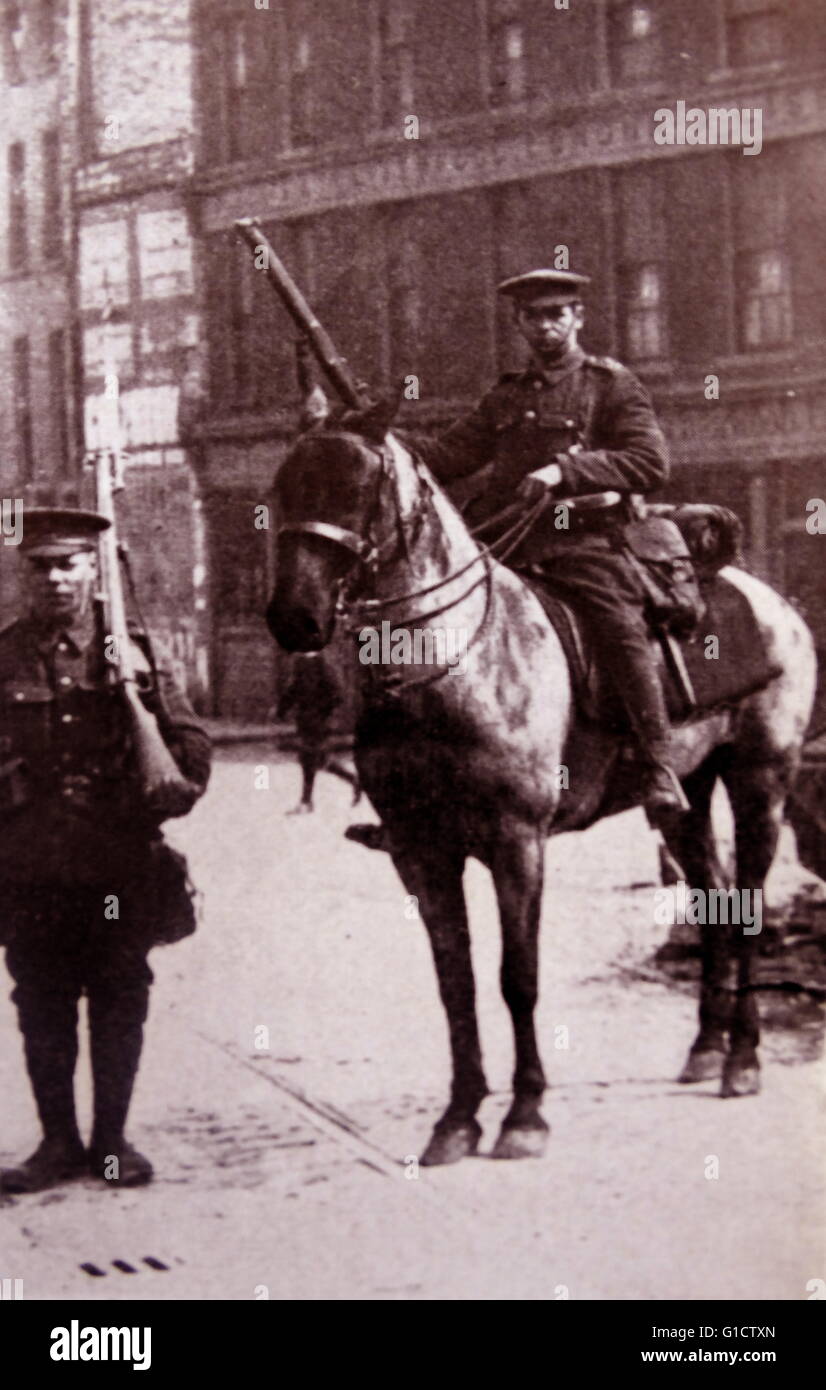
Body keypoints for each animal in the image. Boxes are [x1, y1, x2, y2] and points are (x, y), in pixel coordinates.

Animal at [265, 397, 817, 1167]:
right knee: (712, 896)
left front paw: (524, 1115)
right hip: (686, 793)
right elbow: (456, 983)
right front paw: (458, 1117)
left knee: (748, 908)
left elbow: (515, 978)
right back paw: (706, 1048)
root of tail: (773, 600)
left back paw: (742, 1060)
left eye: (355, 486)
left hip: (760, 779)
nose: (296, 618)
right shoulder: (419, 851)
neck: (455, 662)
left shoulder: (516, 843)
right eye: (283, 486)